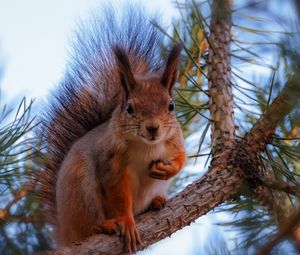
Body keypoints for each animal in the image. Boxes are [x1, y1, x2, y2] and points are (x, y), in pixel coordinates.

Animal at [37, 5, 185, 253]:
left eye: (171, 105)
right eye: (130, 108)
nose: (152, 128)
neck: (147, 146)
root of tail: (64, 232)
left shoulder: (174, 141)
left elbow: (182, 158)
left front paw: (167, 169)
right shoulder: (111, 162)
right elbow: (118, 196)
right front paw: (126, 221)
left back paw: (157, 201)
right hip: (81, 190)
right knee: (87, 226)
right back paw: (103, 225)